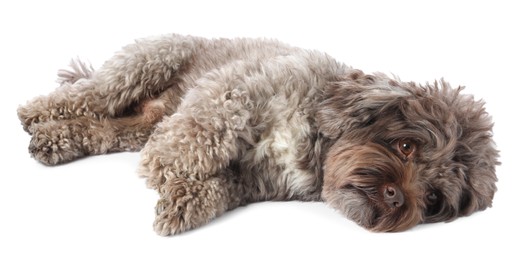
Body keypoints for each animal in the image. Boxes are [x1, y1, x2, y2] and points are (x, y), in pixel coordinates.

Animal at [17, 33, 500, 235]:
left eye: (433, 198)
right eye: (405, 145)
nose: (398, 198)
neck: (314, 143)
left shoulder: (252, 182)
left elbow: (215, 190)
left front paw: (182, 204)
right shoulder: (241, 83)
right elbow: (210, 123)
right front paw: (168, 162)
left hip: (137, 123)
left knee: (104, 128)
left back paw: (54, 140)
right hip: (148, 62)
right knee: (88, 94)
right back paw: (34, 112)